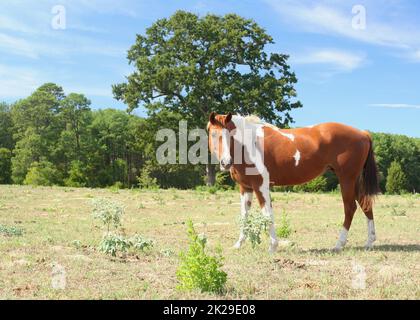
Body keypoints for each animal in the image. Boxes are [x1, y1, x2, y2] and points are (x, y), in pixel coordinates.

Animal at [207, 112, 380, 252]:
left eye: (231, 135)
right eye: (213, 134)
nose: (225, 162)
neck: (249, 145)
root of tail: (363, 133)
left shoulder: (261, 186)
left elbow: (267, 214)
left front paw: (272, 246)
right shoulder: (245, 188)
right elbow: (244, 215)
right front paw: (238, 244)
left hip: (346, 179)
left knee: (350, 208)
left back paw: (339, 244)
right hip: (353, 180)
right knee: (365, 204)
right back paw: (369, 242)